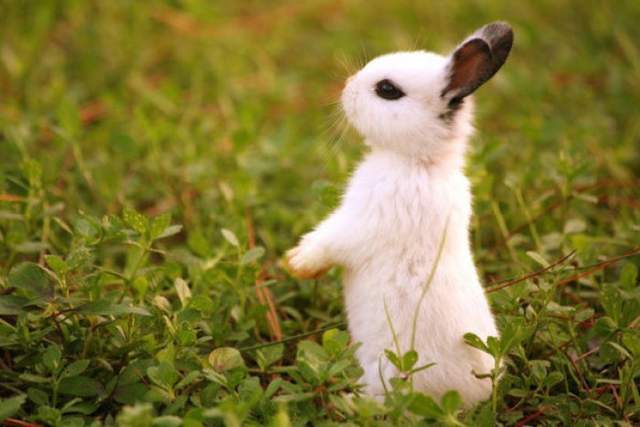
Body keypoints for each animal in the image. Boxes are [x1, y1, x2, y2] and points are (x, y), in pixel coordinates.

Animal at [284, 20, 516, 408]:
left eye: (387, 90)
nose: (346, 88)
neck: (420, 163)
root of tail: (475, 394)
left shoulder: (361, 221)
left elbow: (328, 242)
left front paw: (296, 263)